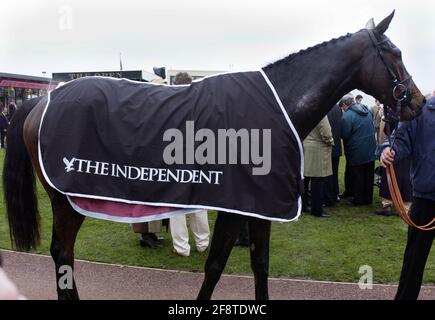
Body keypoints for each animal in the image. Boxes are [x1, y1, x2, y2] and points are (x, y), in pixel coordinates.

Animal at [1, 11, 426, 298]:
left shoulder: (260, 206)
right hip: (67, 200)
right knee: (63, 254)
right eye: (395, 53)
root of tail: (41, 102)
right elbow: (216, 264)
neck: (275, 108)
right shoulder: (236, 205)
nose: (419, 102)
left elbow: (259, 263)